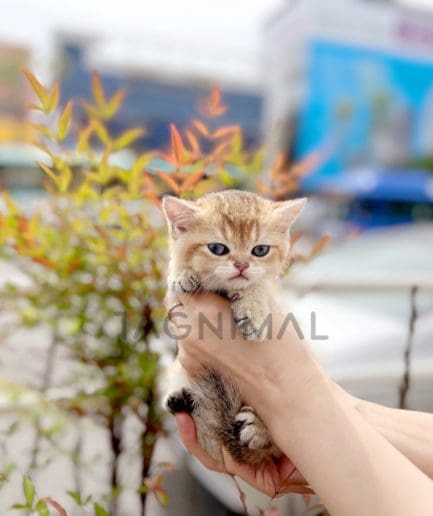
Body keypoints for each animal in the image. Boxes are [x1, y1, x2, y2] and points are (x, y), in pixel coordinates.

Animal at [160, 190, 306, 468]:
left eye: (260, 250)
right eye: (217, 249)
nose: (241, 265)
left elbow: (258, 284)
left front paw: (253, 310)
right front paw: (182, 275)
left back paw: (259, 430)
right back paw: (180, 397)